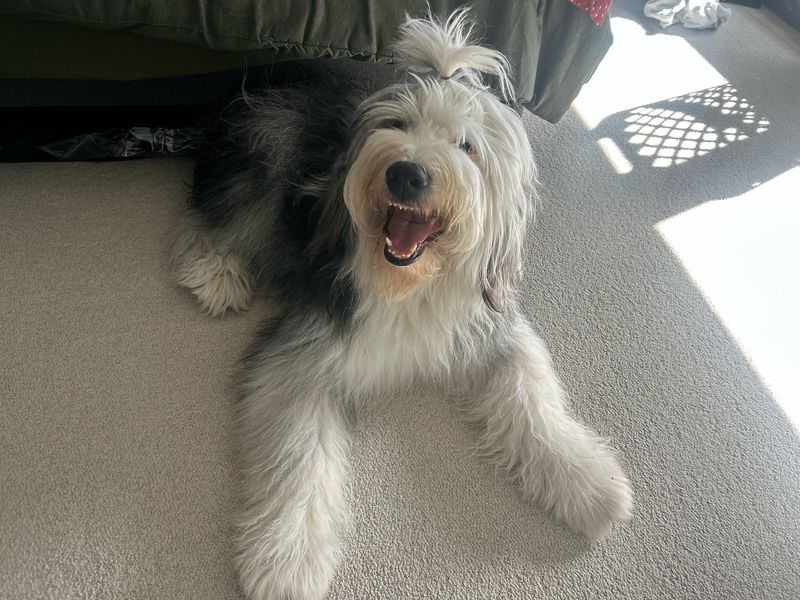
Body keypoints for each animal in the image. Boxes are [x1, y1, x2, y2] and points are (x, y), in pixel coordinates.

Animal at [172, 9, 636, 600]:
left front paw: (588, 483)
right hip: (270, 157)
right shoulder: (300, 356)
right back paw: (216, 272)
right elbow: (298, 457)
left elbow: (534, 401)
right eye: (396, 124)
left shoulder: (491, 328)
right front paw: (288, 561)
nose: (406, 173)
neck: (407, 281)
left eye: (467, 146)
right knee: (212, 218)